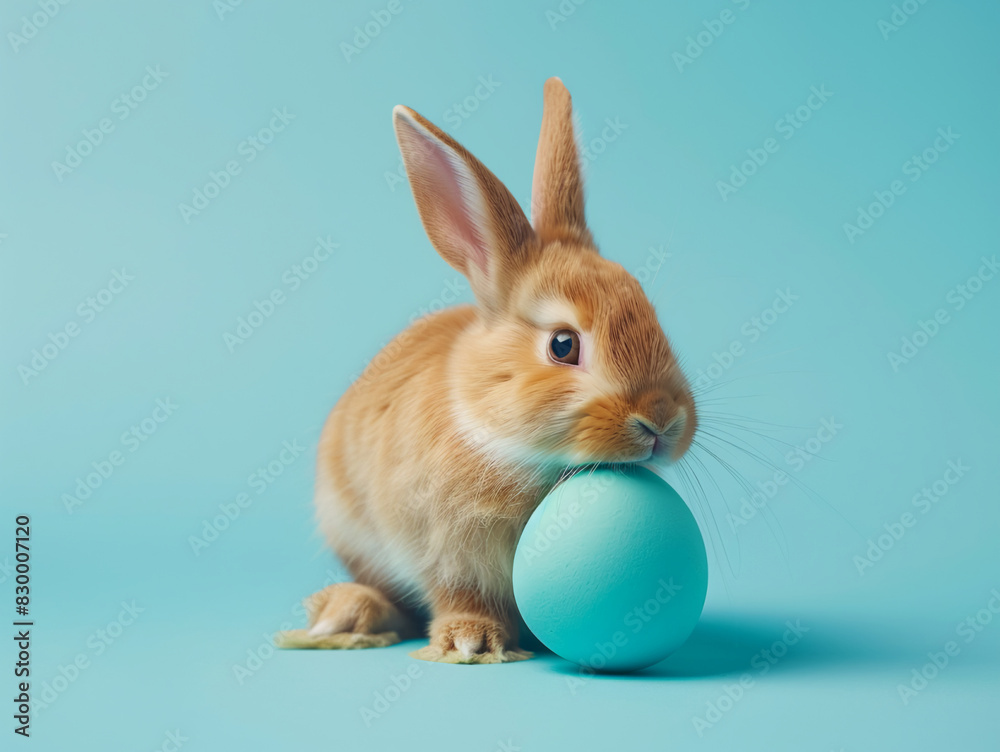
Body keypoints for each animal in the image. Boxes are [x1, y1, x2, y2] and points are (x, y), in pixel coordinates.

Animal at [279, 78, 698, 663]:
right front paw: (471, 640)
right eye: (563, 345)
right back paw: (350, 613)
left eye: (651, 314)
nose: (662, 421)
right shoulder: (443, 551)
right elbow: (456, 593)